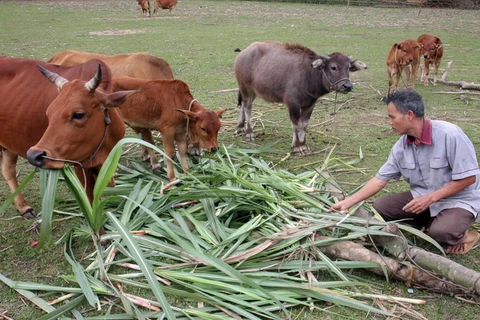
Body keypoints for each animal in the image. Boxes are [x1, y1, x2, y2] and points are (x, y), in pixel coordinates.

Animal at [0, 57, 135, 218]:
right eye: (49, 112)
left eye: (78, 114)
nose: (33, 155)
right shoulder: (80, 165)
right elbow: (90, 201)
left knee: (8, 169)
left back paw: (23, 207)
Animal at [233, 42, 368, 154]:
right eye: (333, 67)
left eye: (348, 68)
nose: (347, 86)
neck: (309, 74)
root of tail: (243, 52)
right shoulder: (293, 104)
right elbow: (296, 125)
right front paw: (297, 147)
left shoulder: (310, 104)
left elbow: (304, 125)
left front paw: (303, 145)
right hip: (245, 87)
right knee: (248, 108)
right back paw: (249, 133)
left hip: (253, 91)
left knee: (243, 105)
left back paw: (240, 128)